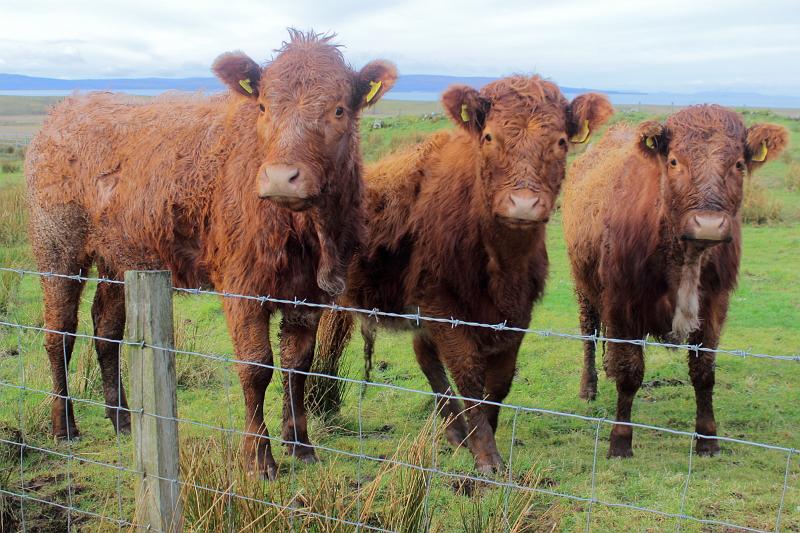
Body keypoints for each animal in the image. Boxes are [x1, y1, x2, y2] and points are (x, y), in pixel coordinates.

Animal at [24, 30, 397, 479]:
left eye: (339, 109)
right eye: (263, 106)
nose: (281, 178)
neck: (309, 231)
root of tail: (66, 109)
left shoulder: (309, 294)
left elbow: (299, 363)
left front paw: (300, 444)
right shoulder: (241, 285)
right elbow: (257, 366)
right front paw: (259, 457)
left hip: (120, 256)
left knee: (106, 328)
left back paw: (122, 417)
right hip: (58, 247)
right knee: (59, 333)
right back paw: (64, 424)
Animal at [315, 77, 613, 473]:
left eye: (561, 141)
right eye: (488, 137)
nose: (523, 204)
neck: (502, 265)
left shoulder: (517, 315)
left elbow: (499, 382)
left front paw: (480, 434)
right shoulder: (442, 305)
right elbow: (468, 374)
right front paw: (486, 456)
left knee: (424, 357)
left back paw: (455, 432)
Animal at [562, 105, 788, 458]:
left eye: (739, 164)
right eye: (673, 161)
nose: (708, 224)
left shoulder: (714, 304)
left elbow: (704, 371)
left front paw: (708, 438)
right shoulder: (622, 302)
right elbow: (630, 372)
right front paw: (620, 440)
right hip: (583, 286)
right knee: (589, 333)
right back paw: (588, 388)